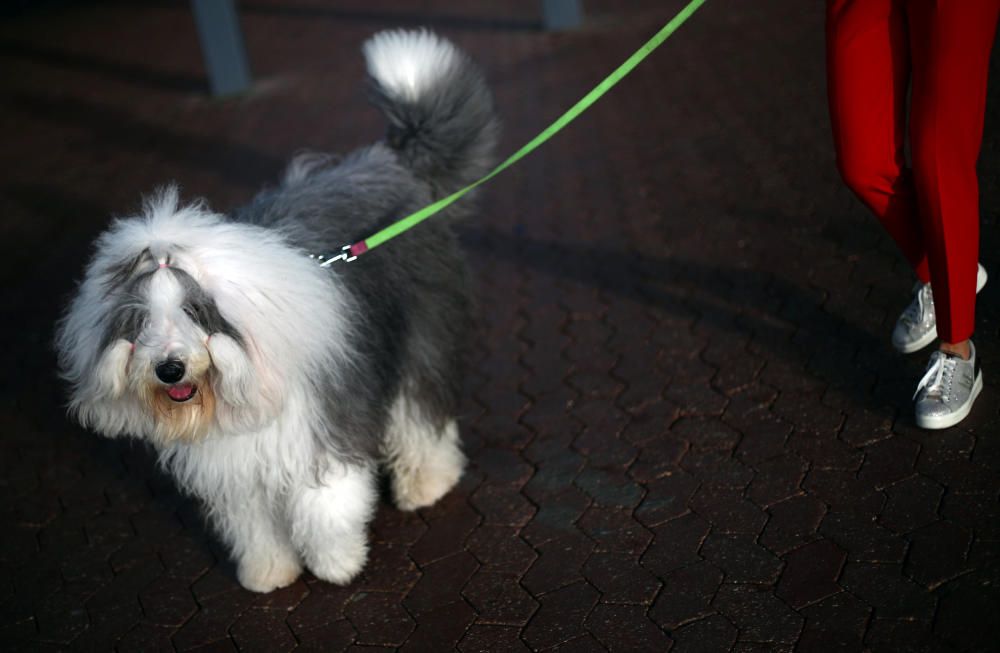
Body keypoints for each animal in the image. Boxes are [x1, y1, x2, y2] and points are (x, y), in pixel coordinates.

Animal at [52, 30, 498, 592]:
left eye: (196, 311)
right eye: (139, 321)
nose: (169, 368)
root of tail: (391, 163)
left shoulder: (318, 428)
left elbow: (324, 507)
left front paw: (336, 564)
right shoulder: (233, 463)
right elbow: (251, 522)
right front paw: (268, 572)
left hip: (421, 332)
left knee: (420, 413)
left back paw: (426, 484)